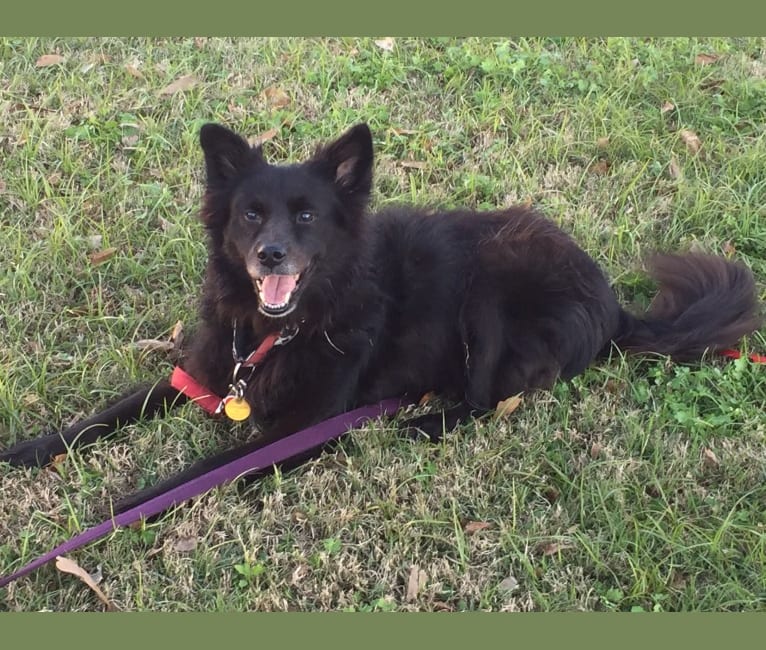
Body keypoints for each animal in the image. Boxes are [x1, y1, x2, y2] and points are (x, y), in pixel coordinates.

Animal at [1, 119, 760, 508]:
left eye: (307, 215)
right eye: (251, 214)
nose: (271, 254)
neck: (281, 331)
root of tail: (612, 302)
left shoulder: (302, 427)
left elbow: (195, 473)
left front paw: (120, 509)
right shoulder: (206, 371)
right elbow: (107, 414)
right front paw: (29, 451)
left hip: (491, 284)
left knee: (488, 398)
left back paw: (419, 422)